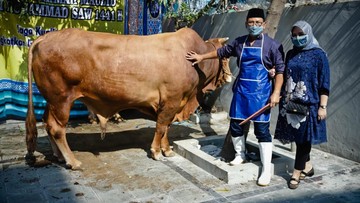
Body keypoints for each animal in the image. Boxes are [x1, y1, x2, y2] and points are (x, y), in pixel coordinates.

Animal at [25, 27, 231, 169]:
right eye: (226, 56)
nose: (230, 76)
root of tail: (45, 37)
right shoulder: (171, 101)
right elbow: (161, 127)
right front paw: (157, 152)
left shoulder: (172, 104)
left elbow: (166, 128)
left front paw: (167, 150)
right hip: (61, 99)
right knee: (57, 128)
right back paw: (72, 161)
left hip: (51, 100)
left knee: (47, 123)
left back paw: (59, 156)